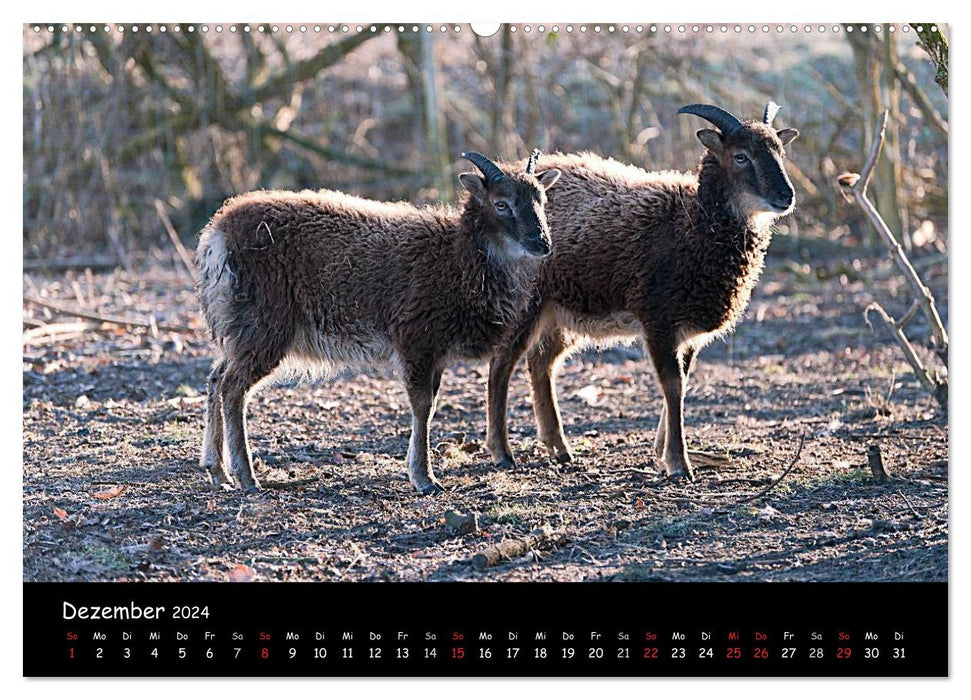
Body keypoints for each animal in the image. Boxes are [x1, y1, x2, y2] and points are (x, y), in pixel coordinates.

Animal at [199, 151, 560, 494]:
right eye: (501, 204)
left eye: (541, 200)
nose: (542, 244)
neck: (456, 258)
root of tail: (217, 237)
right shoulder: (416, 340)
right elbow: (422, 406)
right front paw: (424, 479)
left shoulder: (436, 351)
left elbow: (430, 405)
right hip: (263, 326)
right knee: (232, 388)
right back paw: (246, 478)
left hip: (239, 326)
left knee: (216, 378)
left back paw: (217, 471)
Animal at [486, 104, 796, 482]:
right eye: (740, 156)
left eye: (780, 152)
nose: (785, 196)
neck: (692, 223)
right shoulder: (657, 318)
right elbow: (672, 384)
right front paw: (678, 463)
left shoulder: (688, 331)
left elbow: (682, 382)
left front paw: (663, 451)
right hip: (526, 304)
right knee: (501, 366)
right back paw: (502, 453)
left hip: (560, 310)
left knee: (541, 362)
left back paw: (559, 448)